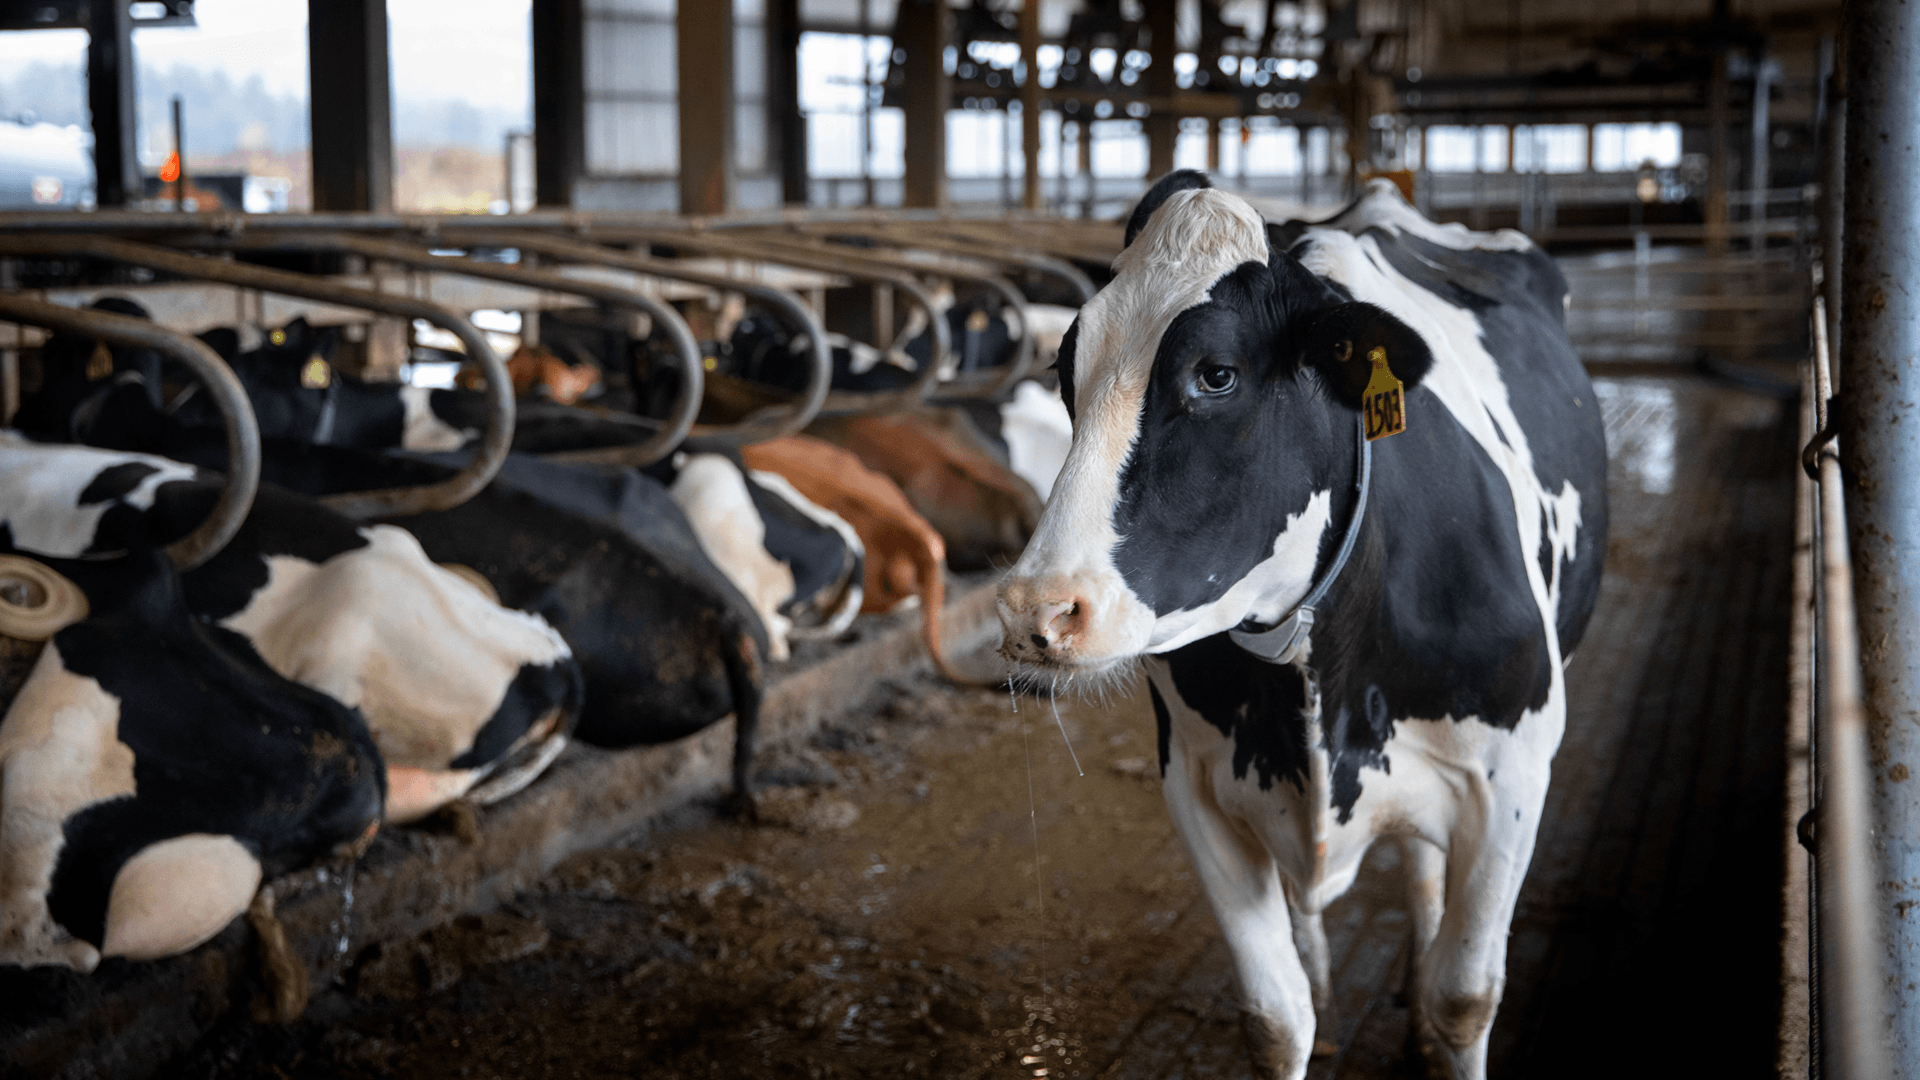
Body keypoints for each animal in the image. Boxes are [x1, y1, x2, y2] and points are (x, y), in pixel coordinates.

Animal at [998, 171, 1612, 1068]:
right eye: (1064, 365)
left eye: (1216, 374)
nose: (1036, 608)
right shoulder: (1196, 782)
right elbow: (1274, 1016)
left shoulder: (1516, 772)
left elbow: (1464, 997)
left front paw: (1436, 1013)